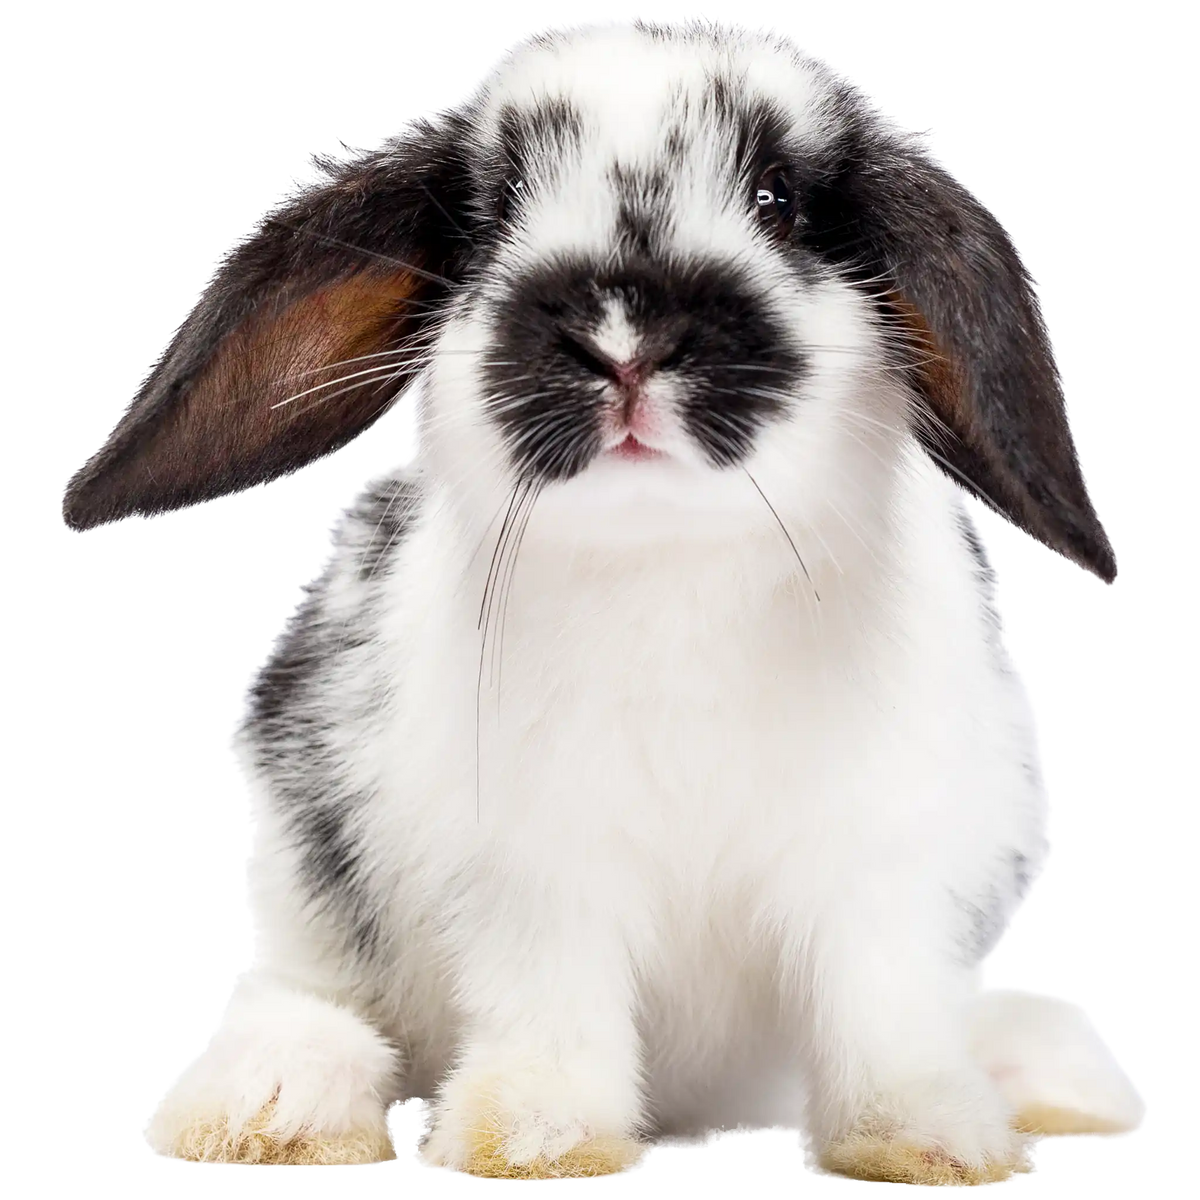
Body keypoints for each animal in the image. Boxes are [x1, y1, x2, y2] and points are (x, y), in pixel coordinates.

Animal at [59, 12, 1148, 1185]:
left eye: (778, 197)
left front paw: (932, 1143)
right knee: (295, 997)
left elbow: (884, 1013)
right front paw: (541, 1140)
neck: (672, 567)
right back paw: (268, 1109)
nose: (621, 338)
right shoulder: (529, 881)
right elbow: (553, 1001)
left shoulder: (888, 872)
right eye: (488, 216)